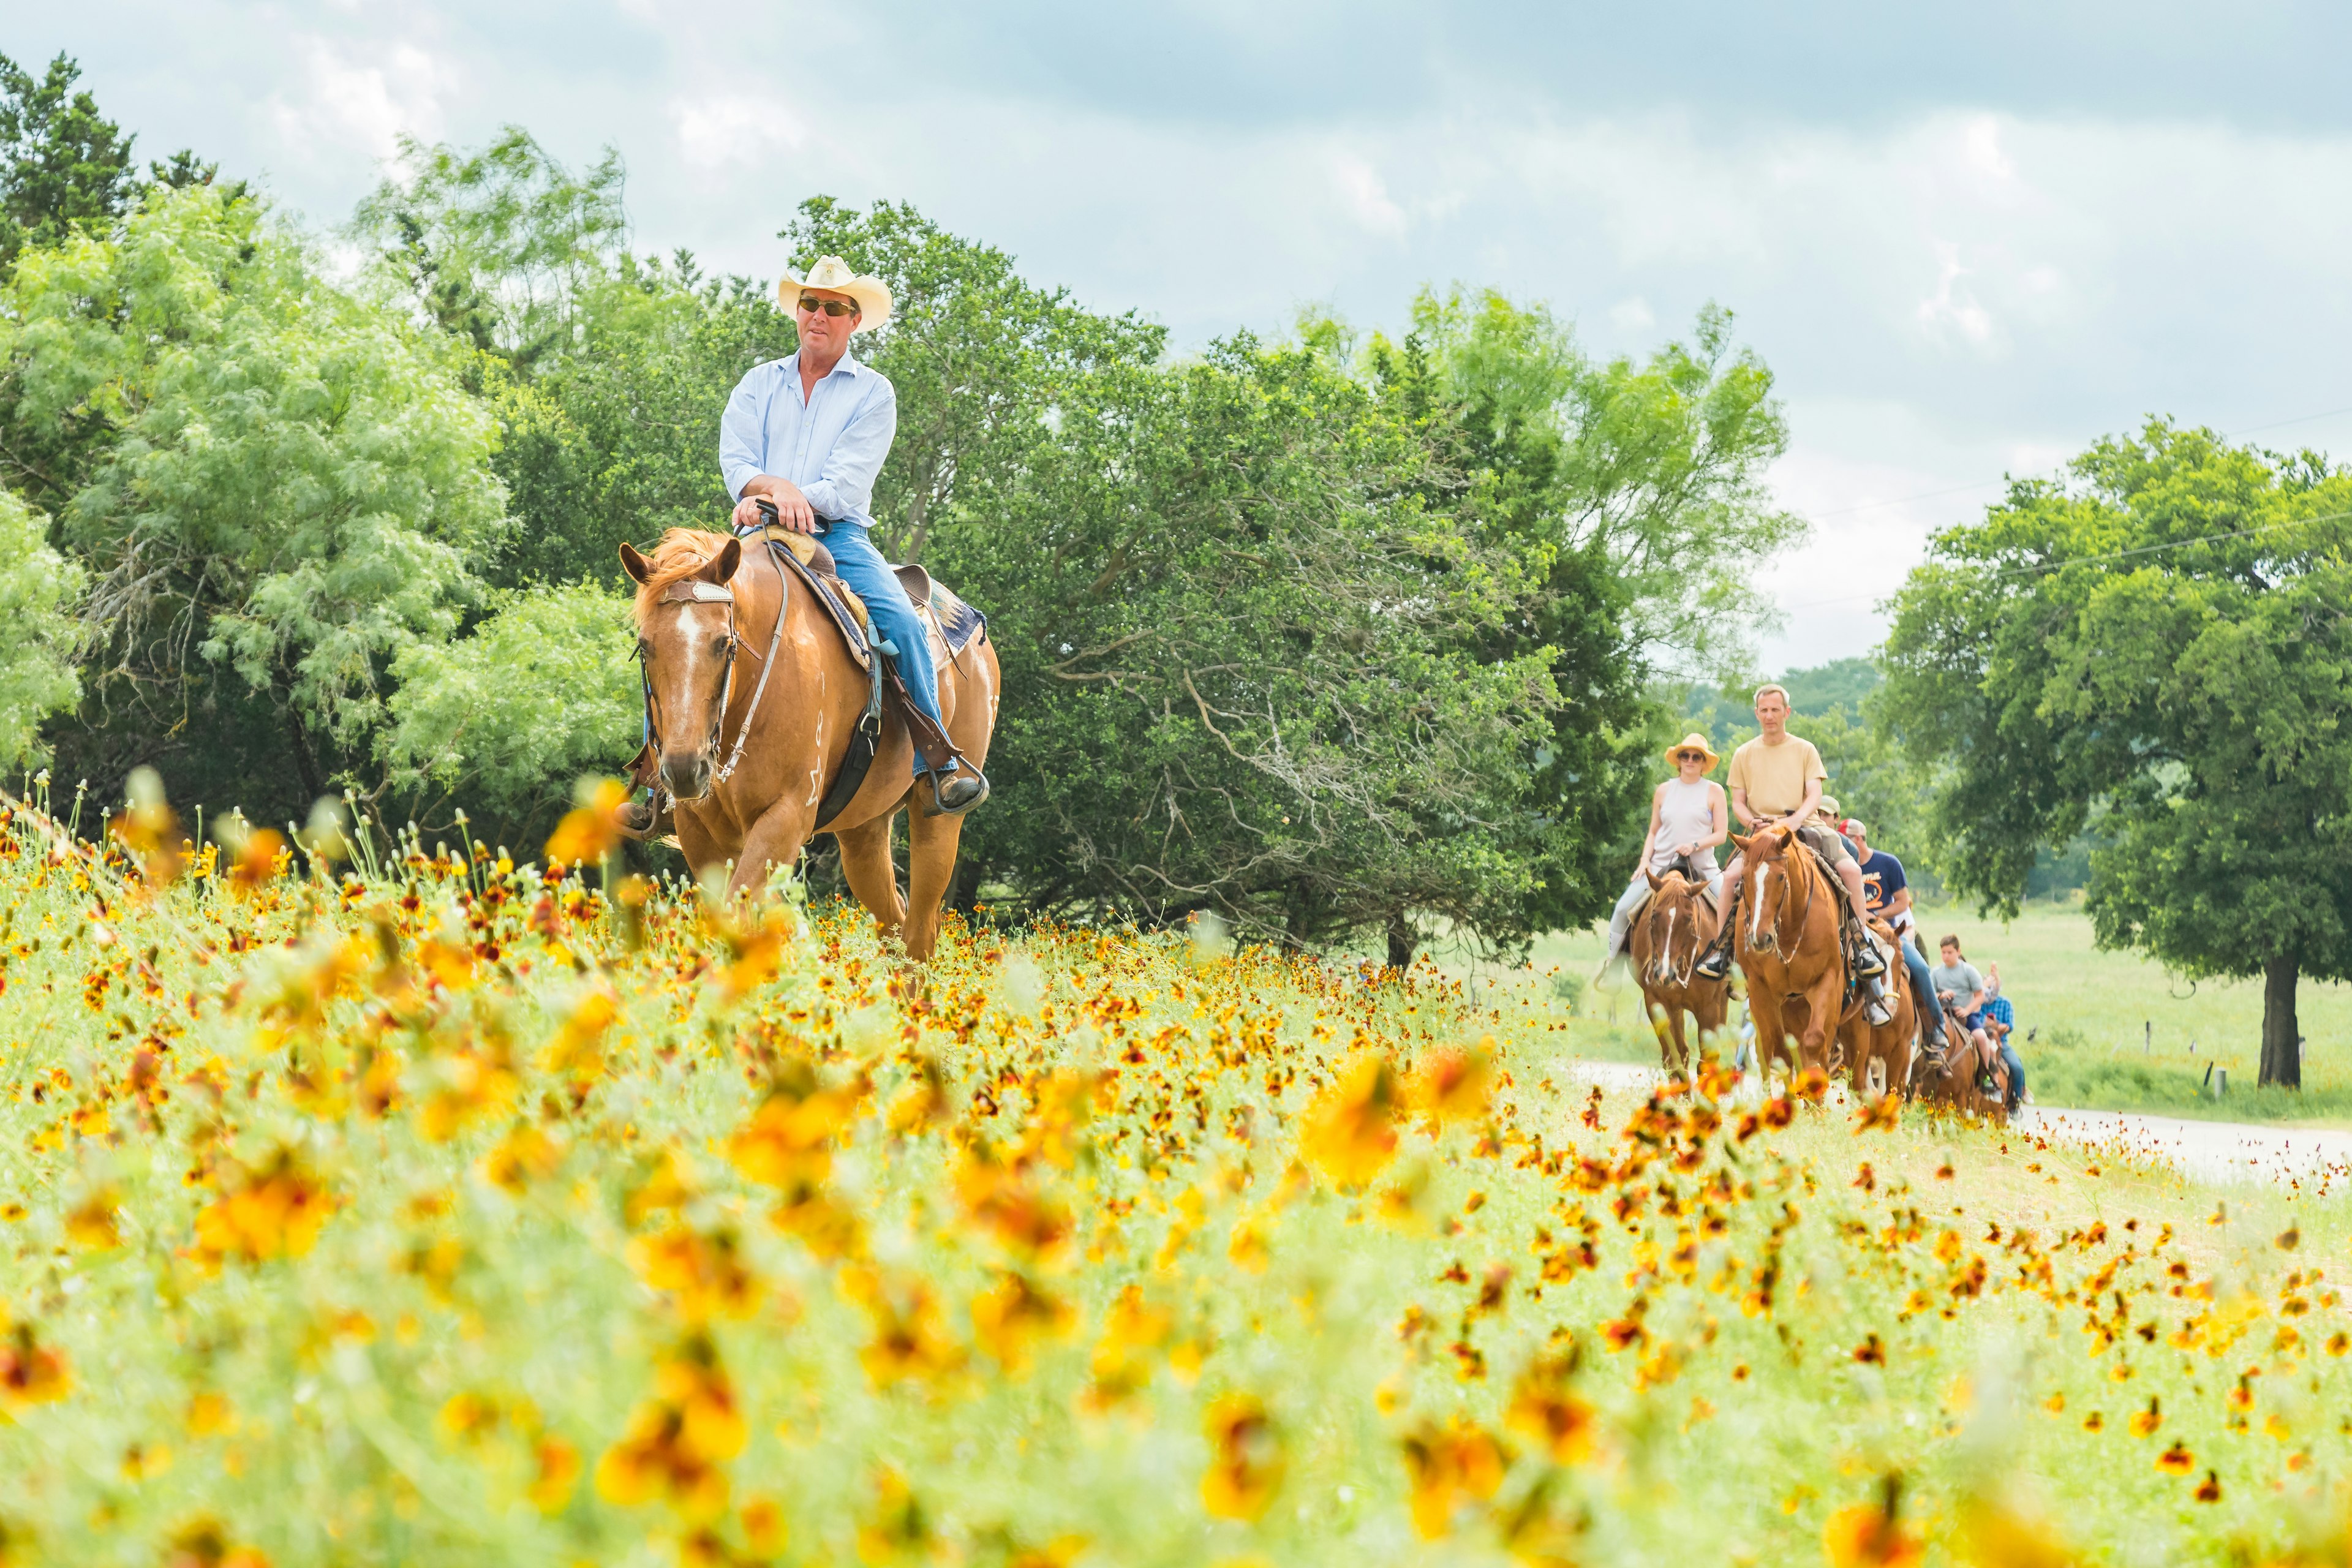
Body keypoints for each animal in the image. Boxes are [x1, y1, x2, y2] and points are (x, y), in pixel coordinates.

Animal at [620, 533, 997, 963]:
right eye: (645, 645)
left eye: (724, 643)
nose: (684, 771)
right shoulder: (698, 830)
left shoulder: (785, 818)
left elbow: (737, 919)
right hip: (863, 829)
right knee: (894, 927)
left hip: (936, 820)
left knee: (919, 933)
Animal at [1637, 870, 1731, 1081]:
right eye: (1654, 916)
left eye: (1688, 919)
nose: (1664, 974)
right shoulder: (1657, 1003)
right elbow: (1675, 1062)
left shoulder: (1709, 1006)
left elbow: (1706, 1062)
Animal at [1731, 827, 1853, 1086]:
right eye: (1744, 877)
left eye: (1780, 877)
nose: (1761, 938)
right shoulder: (1761, 991)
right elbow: (1779, 1053)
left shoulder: (1825, 981)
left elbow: (1815, 1042)